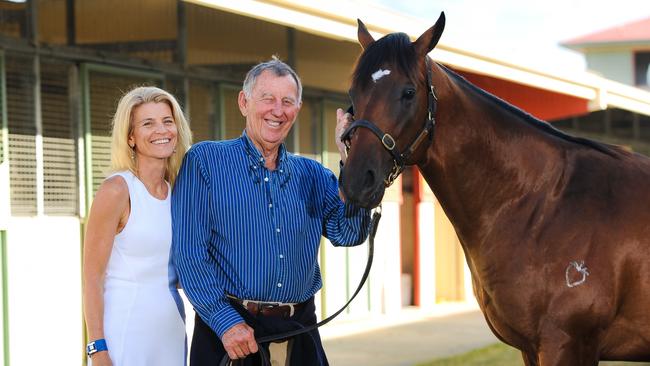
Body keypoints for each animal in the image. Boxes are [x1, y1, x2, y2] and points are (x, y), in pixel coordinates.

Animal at [336, 12, 648, 364]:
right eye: (354, 93)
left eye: (408, 92)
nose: (356, 181)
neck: (543, 204)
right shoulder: (531, 348)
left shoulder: (567, 344)